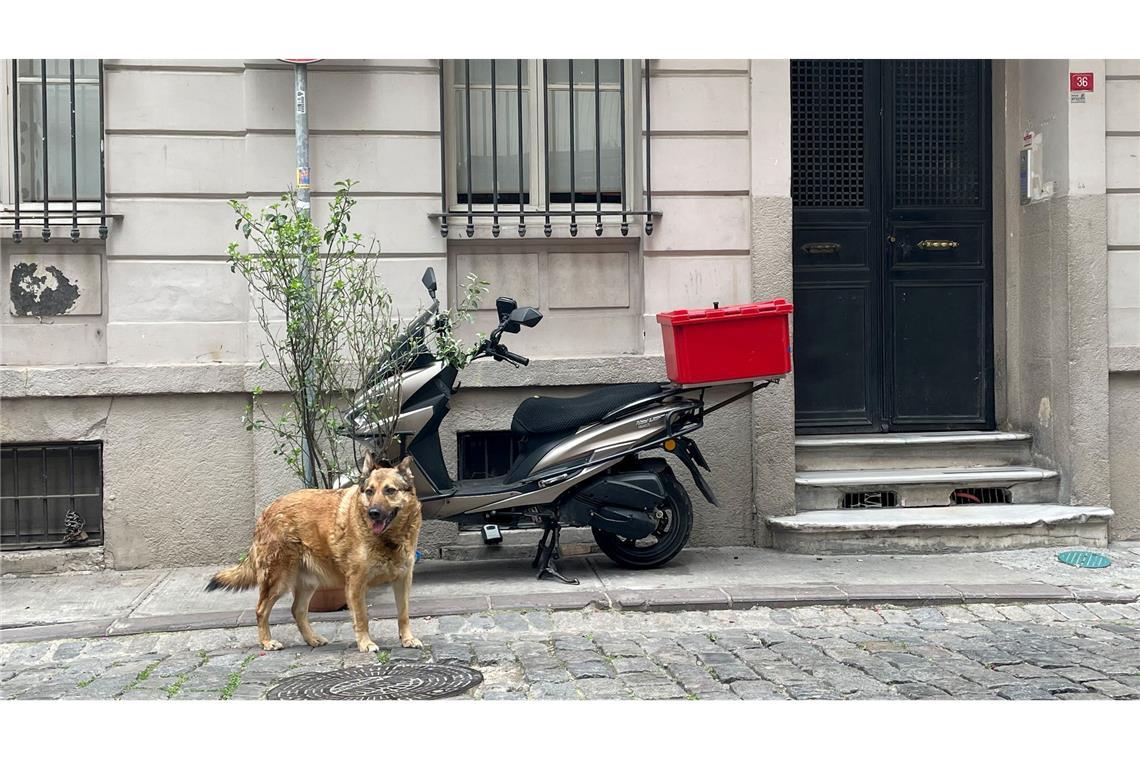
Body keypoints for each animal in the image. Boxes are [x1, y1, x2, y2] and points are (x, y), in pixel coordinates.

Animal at [206, 455, 424, 651]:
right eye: (370, 492)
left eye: (390, 490)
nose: (373, 513)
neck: (388, 540)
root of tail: (265, 512)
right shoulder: (356, 583)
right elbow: (362, 618)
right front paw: (365, 643)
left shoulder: (403, 580)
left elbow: (403, 614)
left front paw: (407, 639)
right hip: (279, 581)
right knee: (261, 610)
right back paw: (267, 642)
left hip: (308, 583)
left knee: (297, 610)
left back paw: (312, 639)